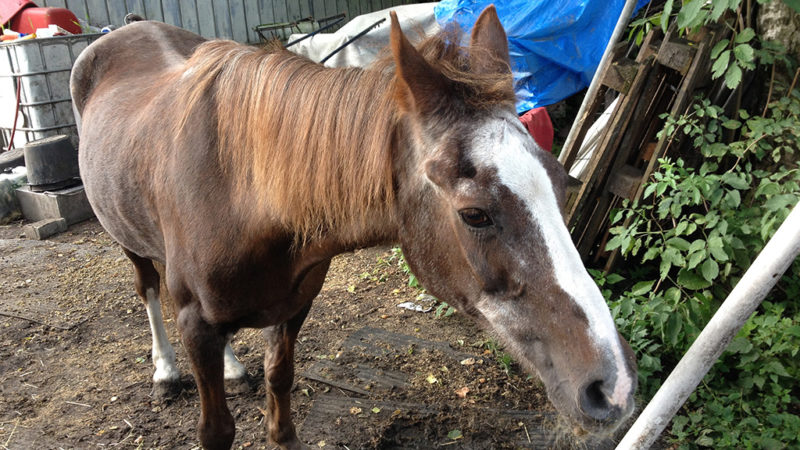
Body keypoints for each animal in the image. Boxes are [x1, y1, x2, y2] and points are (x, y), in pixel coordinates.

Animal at [72, 5, 636, 448]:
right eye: (474, 214)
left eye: (562, 183)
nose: (615, 387)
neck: (240, 191)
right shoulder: (196, 322)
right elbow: (217, 430)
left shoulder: (294, 305)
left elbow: (280, 386)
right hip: (125, 239)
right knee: (148, 287)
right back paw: (166, 371)